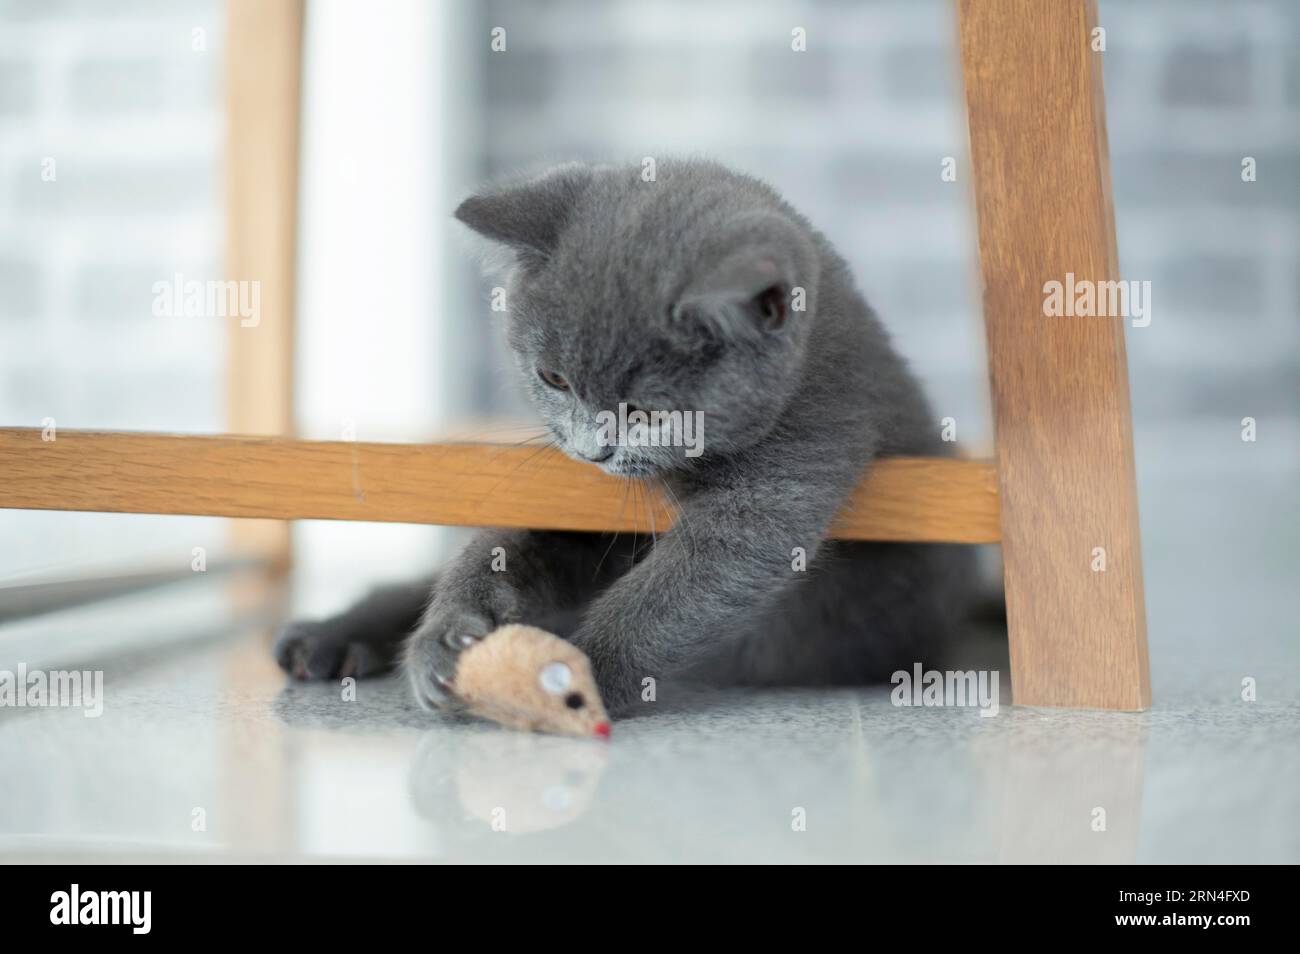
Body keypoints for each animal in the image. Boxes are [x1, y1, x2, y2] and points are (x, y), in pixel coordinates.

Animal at [276, 160, 982, 717]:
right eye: (553, 378)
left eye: (645, 411)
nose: (592, 450)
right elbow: (499, 548)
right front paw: (446, 638)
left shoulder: (803, 448)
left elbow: (688, 585)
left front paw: (579, 674)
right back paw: (327, 639)